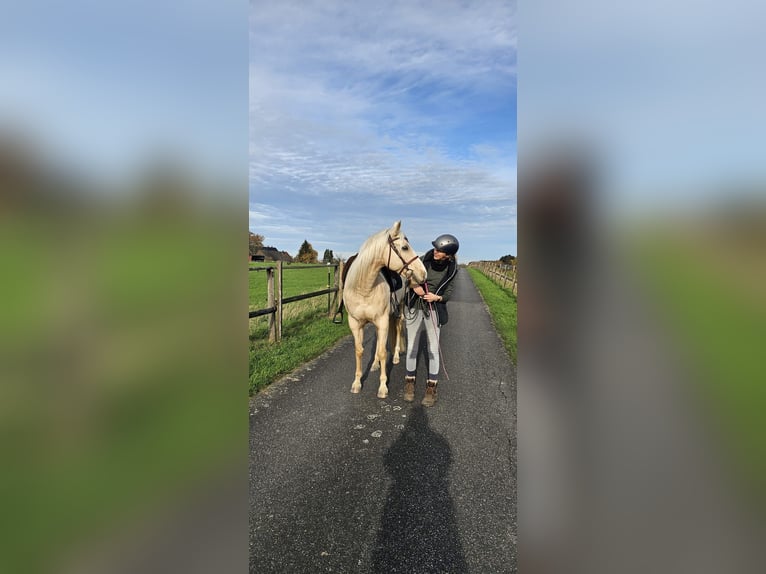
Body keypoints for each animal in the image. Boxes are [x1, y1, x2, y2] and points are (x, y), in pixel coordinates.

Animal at [342, 221, 427, 398]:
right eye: (404, 247)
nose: (423, 273)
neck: (364, 288)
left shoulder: (383, 320)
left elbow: (382, 352)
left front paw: (382, 387)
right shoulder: (355, 323)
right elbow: (359, 351)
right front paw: (357, 383)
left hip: (398, 311)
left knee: (398, 328)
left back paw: (395, 356)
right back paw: (374, 364)